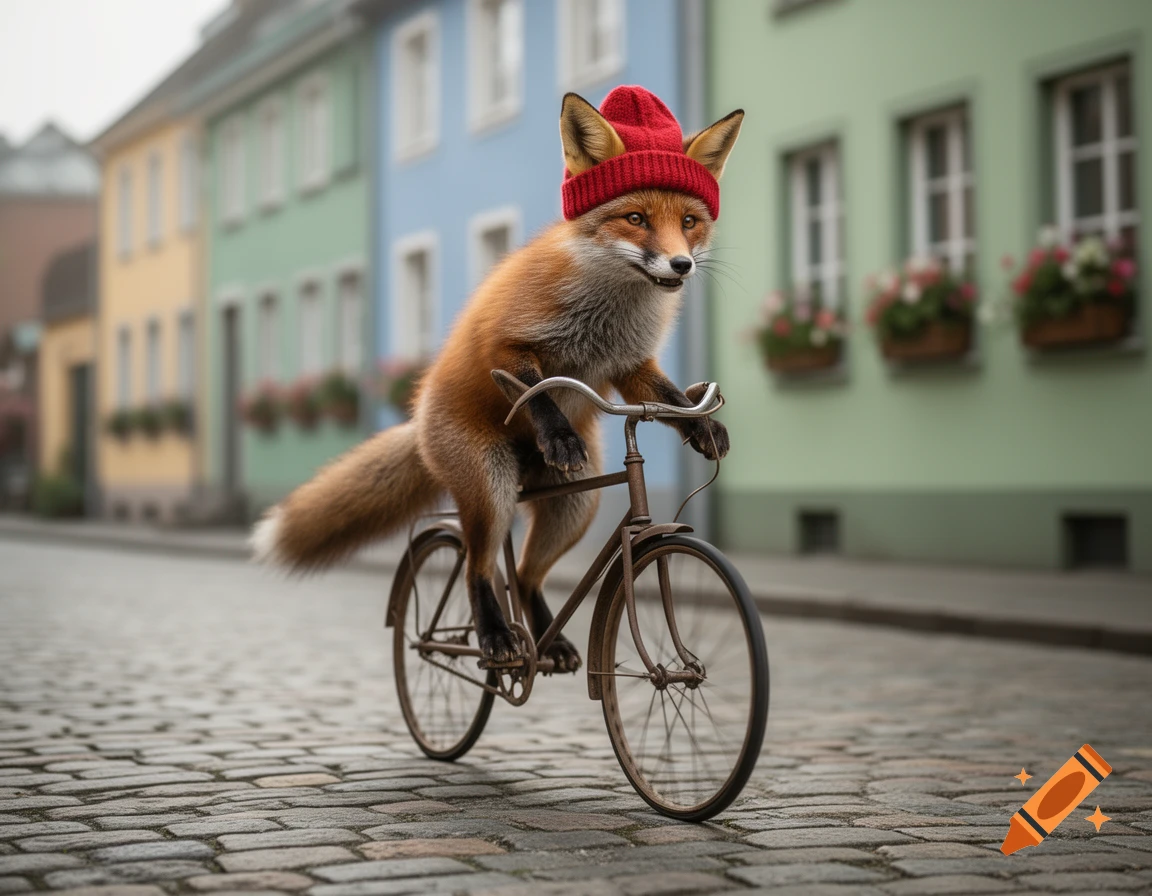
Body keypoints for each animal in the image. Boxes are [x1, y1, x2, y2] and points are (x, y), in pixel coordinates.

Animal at [251, 86, 744, 671]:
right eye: (636, 218)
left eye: (690, 222)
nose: (680, 265)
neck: (607, 311)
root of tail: (418, 424)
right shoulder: (508, 345)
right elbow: (534, 392)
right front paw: (559, 434)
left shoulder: (631, 367)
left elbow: (669, 400)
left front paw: (703, 429)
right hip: (491, 485)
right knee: (479, 567)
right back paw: (496, 638)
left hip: (575, 503)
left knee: (527, 575)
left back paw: (548, 643)